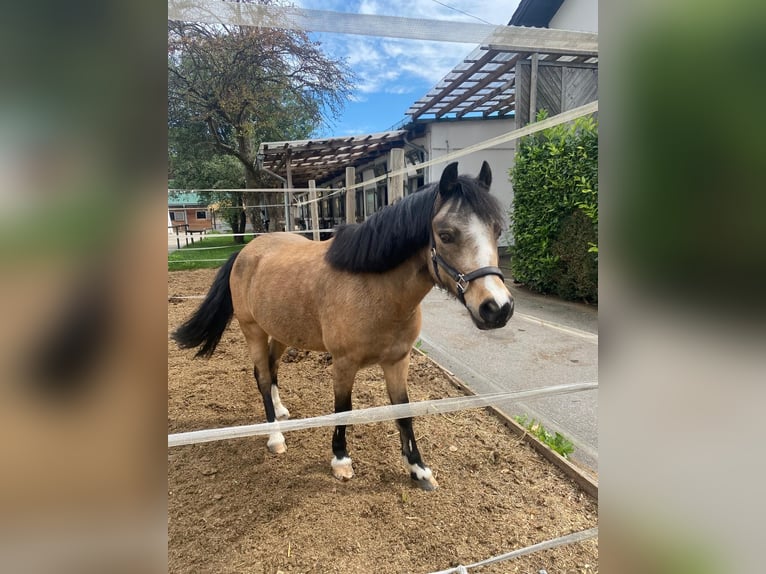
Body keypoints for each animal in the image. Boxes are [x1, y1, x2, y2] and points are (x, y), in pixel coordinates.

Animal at [172, 161, 514, 490]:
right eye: (445, 235)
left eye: (497, 230)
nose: (498, 308)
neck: (375, 290)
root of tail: (245, 252)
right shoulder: (343, 364)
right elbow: (343, 408)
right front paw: (340, 460)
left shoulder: (397, 362)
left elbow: (404, 412)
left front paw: (419, 469)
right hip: (252, 329)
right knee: (262, 376)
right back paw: (276, 436)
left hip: (281, 332)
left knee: (270, 369)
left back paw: (281, 411)